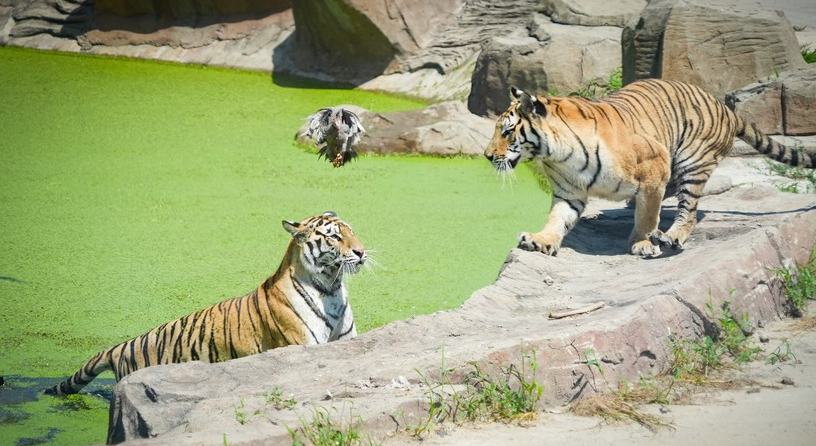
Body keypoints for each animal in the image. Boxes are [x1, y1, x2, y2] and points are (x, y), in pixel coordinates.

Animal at [45, 211, 366, 395]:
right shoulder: (303, 344)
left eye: (352, 231)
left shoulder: (346, 339)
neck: (331, 288)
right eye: (334, 237)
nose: (361, 252)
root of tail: (123, 345)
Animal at [484, 79, 814, 258]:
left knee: (688, 210)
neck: (558, 154)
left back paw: (671, 236)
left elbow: (647, 215)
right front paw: (541, 241)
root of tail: (725, 108)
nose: (487, 156)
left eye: (508, 131)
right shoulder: (569, 192)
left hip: (692, 160)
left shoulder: (654, 169)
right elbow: (557, 219)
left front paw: (642, 243)